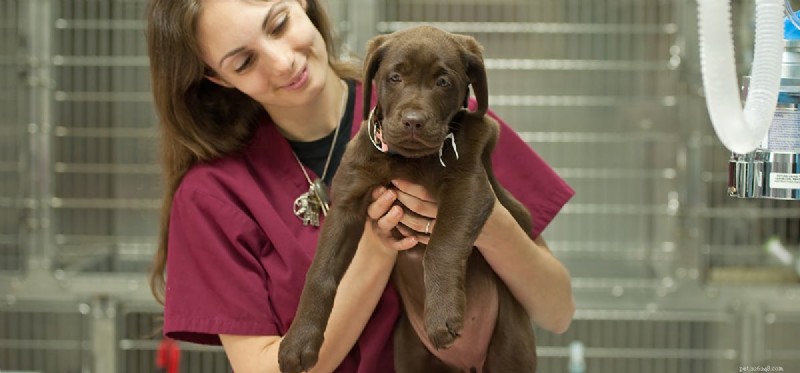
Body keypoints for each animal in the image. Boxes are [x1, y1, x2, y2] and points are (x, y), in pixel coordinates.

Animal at [280, 24, 536, 370]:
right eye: (395, 77)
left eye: (443, 82)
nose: (413, 121)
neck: (408, 160)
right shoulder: (347, 201)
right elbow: (320, 272)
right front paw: (298, 341)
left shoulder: (469, 187)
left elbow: (441, 247)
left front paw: (441, 315)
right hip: (409, 351)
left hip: (509, 344)